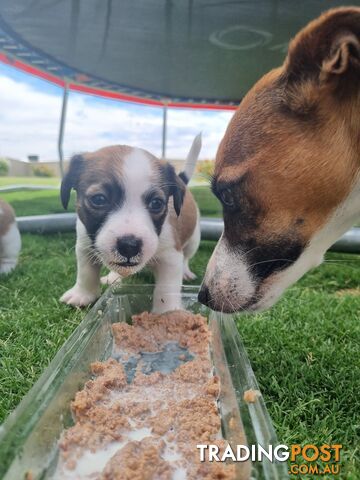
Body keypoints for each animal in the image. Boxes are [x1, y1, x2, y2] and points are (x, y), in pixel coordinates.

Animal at [60, 134, 204, 312]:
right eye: (99, 199)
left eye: (156, 203)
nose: (129, 246)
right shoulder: (84, 245)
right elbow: (85, 272)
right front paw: (82, 294)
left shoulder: (170, 257)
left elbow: (166, 289)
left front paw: (167, 312)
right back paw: (113, 277)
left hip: (193, 241)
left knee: (186, 258)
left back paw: (185, 272)